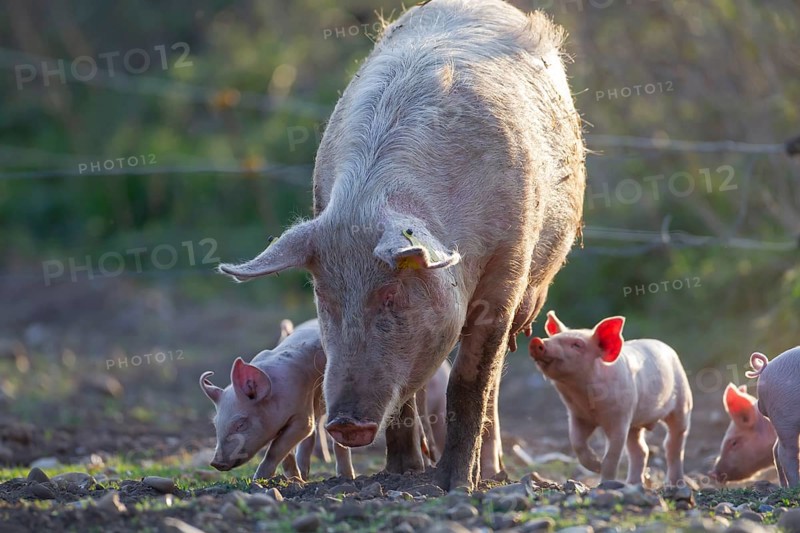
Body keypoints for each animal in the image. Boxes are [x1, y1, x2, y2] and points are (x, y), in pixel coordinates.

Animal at [199, 319, 355, 481]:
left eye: (240, 424)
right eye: (215, 424)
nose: (215, 463)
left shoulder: (302, 414)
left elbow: (278, 447)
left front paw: (257, 480)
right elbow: (285, 452)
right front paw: (294, 479)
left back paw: (346, 476)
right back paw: (305, 476)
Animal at [217, 0, 585, 490]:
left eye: (391, 295)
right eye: (325, 298)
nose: (344, 424)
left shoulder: (508, 263)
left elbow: (470, 381)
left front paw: (453, 485)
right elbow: (407, 397)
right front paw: (401, 473)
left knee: (492, 382)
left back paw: (490, 474)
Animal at [529, 311, 692, 485]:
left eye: (577, 345)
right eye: (554, 337)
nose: (537, 341)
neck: (586, 399)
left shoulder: (620, 418)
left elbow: (611, 456)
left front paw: (603, 478)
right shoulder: (578, 415)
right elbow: (576, 443)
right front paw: (596, 466)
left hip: (683, 402)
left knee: (674, 444)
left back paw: (674, 483)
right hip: (635, 423)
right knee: (641, 450)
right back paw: (632, 484)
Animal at [744, 347, 800, 487]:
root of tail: (767, 366)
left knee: (775, 450)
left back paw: (784, 486)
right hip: (785, 416)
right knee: (785, 453)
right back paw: (795, 487)